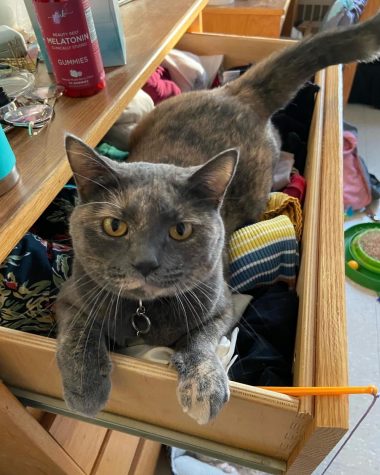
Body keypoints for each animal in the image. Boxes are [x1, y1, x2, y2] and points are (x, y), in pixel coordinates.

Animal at [57, 13, 380, 424]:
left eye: (180, 230)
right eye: (115, 226)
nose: (145, 263)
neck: (144, 315)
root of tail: (234, 92)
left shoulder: (223, 304)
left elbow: (203, 340)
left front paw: (203, 385)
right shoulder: (69, 296)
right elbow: (78, 333)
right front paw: (86, 387)